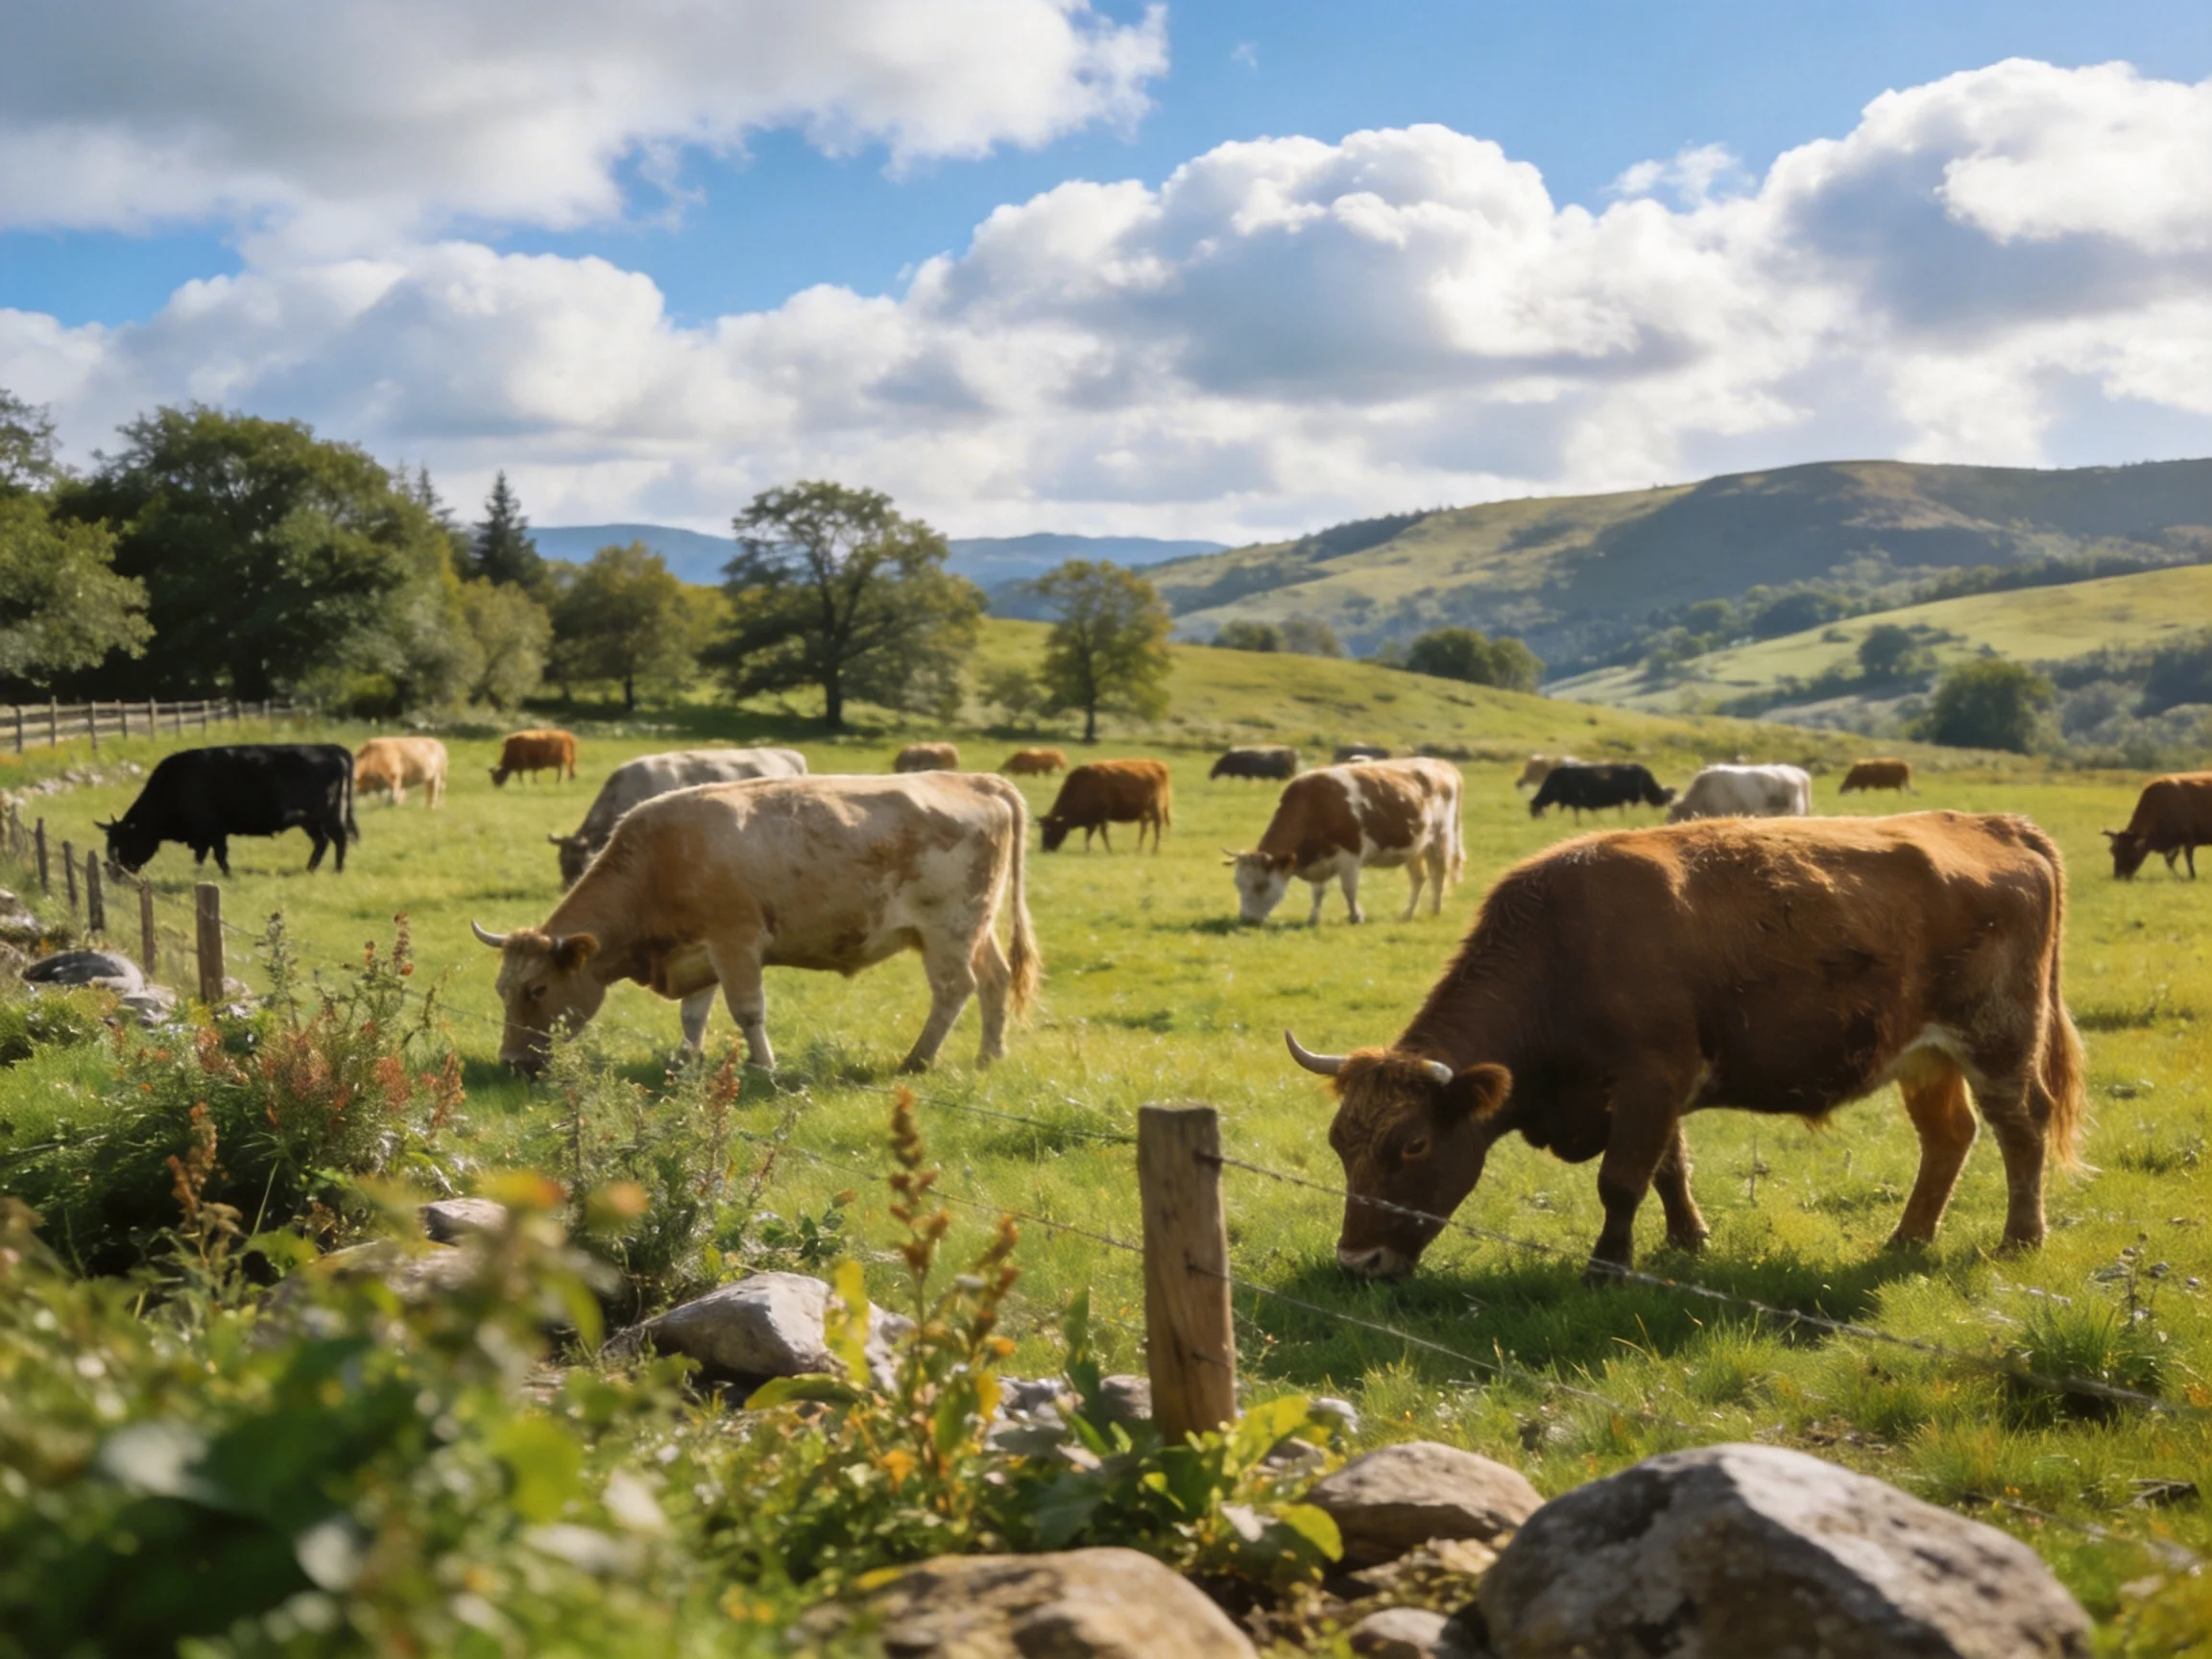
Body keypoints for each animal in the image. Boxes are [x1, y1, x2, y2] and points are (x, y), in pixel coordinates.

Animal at [99, 744, 358, 876]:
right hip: (312, 819)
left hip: (325, 814)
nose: (120, 873)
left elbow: (218, 855)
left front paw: (225, 874)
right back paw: (312, 869)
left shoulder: (212, 830)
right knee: (324, 840)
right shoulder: (206, 834)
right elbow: (203, 855)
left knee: (338, 838)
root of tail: (332, 749)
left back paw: (337, 870)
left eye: (125, 841)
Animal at [472, 772, 1039, 1075]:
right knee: (994, 978)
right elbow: (693, 1014)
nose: (510, 1062)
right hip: (977, 927)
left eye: (539, 989)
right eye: (500, 989)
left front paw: (764, 1067)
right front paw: (686, 1060)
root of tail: (975, 779)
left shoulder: (735, 942)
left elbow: (747, 1011)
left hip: (949, 929)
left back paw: (917, 1060)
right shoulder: (698, 951)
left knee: (955, 988)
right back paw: (990, 1055)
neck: (658, 864)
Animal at [1039, 759, 1172, 853]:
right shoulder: (1092, 819)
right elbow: (1089, 834)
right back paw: (1138, 848)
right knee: (1144, 829)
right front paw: (1088, 850)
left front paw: (1109, 850)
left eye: (1050, 829)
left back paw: (1154, 850)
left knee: (1157, 828)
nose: (1044, 849)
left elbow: (1102, 834)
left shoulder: (1102, 817)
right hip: (1145, 814)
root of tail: (1159, 765)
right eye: (1043, 829)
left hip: (1156, 810)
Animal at [1228, 758, 1463, 926]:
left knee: (1438, 874)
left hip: (1440, 839)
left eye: (1261, 885)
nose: (1246, 920)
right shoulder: (1319, 859)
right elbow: (1317, 892)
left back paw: (1435, 911)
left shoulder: (1350, 857)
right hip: (1414, 846)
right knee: (1419, 878)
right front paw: (1313, 918)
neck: (1314, 805)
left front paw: (1355, 916)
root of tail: (1444, 765)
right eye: (1238, 884)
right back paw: (1407, 914)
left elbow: (1349, 890)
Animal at [1285, 812, 2084, 1284]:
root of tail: (2000, 826)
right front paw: (1686, 1240)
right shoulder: (1655, 1090)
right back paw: (1908, 1239)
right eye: (1338, 1143)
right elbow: (1669, 1168)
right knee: (1949, 1136)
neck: (1564, 949)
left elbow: (1622, 1179)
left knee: (2021, 1127)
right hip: (1924, 1058)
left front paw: (1607, 1267)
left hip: (1998, 1039)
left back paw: (2021, 1239)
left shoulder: (1650, 1079)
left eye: (1414, 1145)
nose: (1357, 1261)